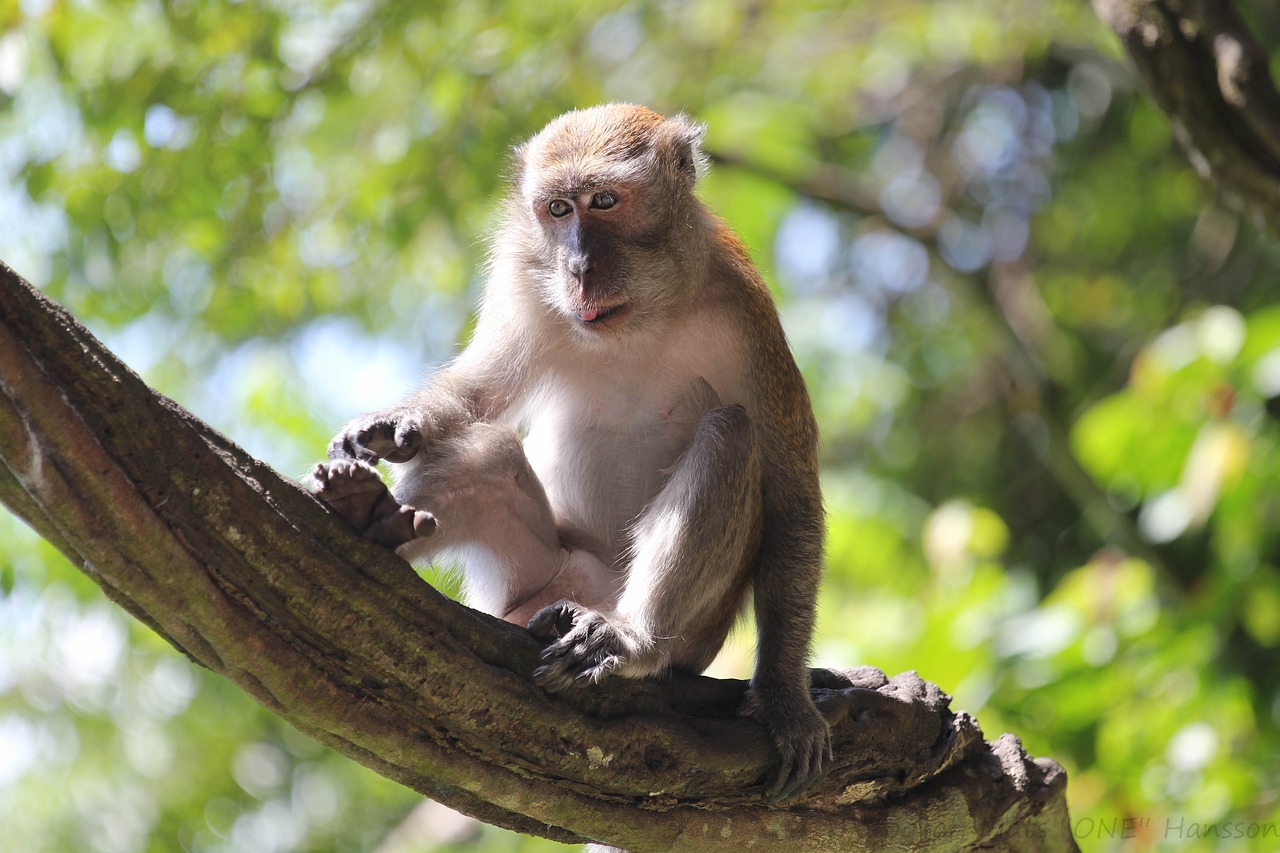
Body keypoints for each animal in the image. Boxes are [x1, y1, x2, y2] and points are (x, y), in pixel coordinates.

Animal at [309, 103, 829, 799]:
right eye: (558, 210)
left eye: (604, 201)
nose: (579, 266)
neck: (641, 317)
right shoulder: (525, 284)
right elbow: (481, 392)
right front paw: (393, 426)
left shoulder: (749, 315)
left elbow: (793, 498)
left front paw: (784, 700)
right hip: (534, 579)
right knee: (490, 451)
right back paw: (373, 518)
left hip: (693, 632)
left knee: (730, 434)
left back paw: (630, 640)